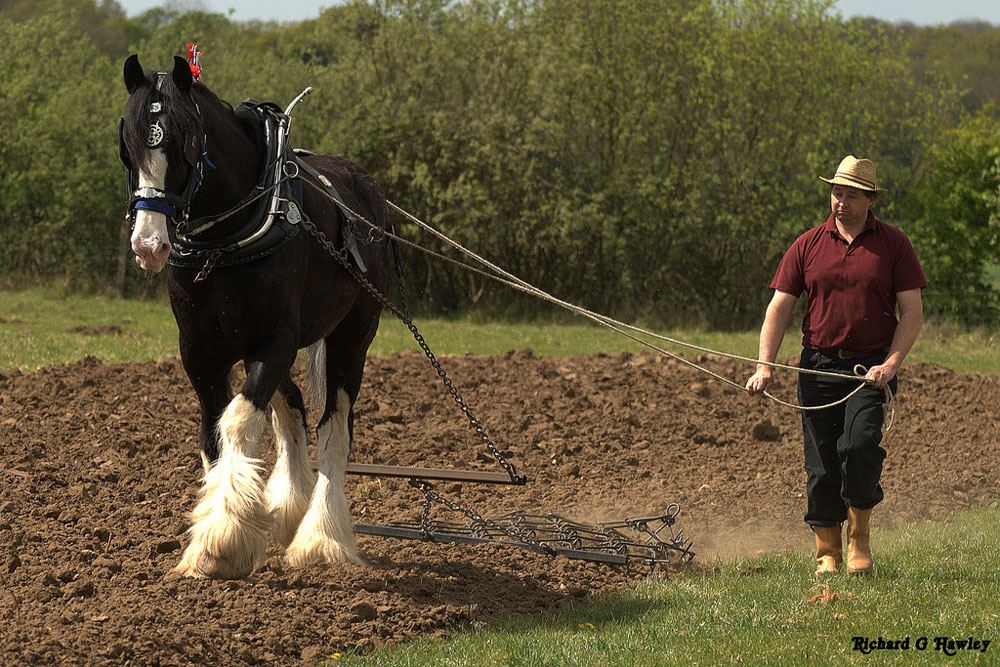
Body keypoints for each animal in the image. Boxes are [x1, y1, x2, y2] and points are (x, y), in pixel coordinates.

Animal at [121, 54, 390, 580]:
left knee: (334, 425)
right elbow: (213, 434)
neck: (223, 244)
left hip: (352, 336)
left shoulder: (276, 341)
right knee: (293, 409)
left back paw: (322, 537)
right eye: (128, 144)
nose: (149, 245)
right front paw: (216, 536)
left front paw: (223, 541)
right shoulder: (200, 353)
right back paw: (288, 510)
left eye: (187, 143)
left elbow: (241, 422)